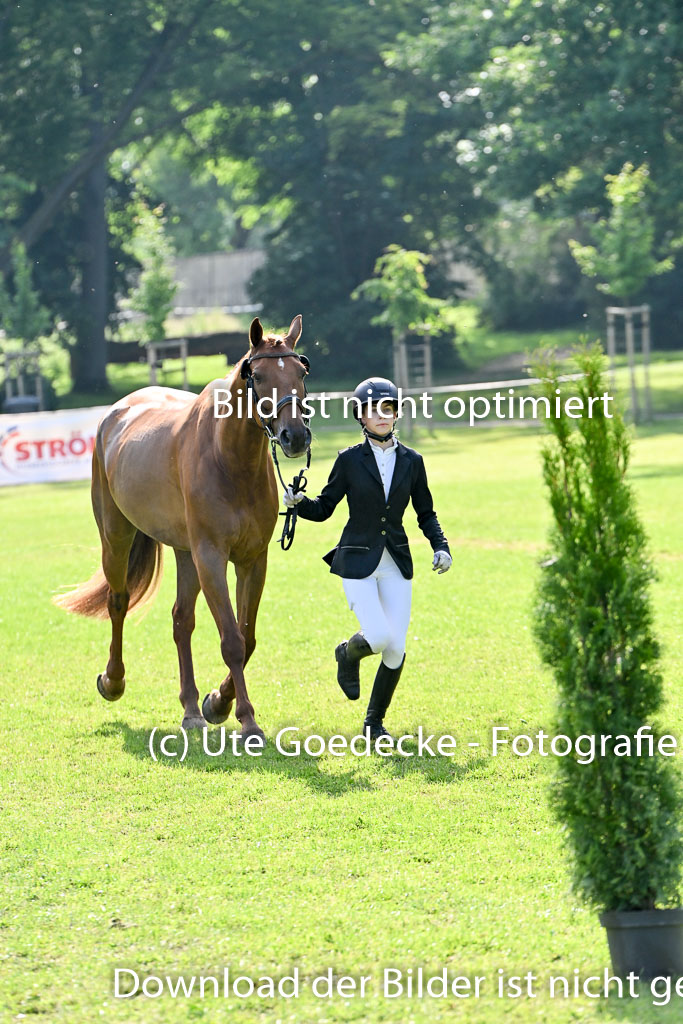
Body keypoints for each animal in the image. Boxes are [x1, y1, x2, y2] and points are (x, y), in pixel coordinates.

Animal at [55, 315, 311, 741]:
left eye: (301, 371)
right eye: (257, 376)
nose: (295, 436)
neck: (230, 460)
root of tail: (115, 413)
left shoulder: (252, 560)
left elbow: (247, 637)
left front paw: (217, 703)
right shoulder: (211, 558)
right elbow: (232, 640)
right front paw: (246, 718)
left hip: (185, 552)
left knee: (181, 620)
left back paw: (191, 708)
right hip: (117, 538)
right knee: (118, 602)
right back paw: (113, 681)